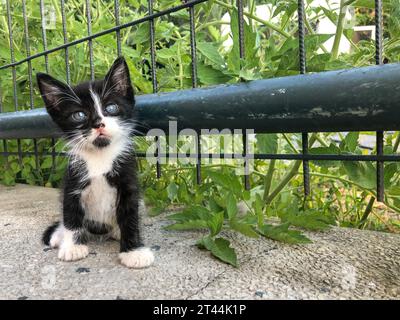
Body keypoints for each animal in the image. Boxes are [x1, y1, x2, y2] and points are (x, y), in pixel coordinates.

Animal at [36, 57, 155, 268]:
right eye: (79, 115)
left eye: (111, 108)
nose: (99, 124)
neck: (100, 156)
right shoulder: (73, 181)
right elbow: (71, 214)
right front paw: (73, 247)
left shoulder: (128, 181)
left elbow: (131, 217)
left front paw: (134, 252)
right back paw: (59, 235)